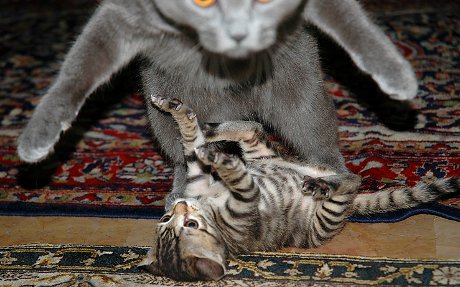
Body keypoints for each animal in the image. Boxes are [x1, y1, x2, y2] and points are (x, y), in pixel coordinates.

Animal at [141, 97, 460, 282]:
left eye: (170, 220)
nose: (178, 206)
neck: (208, 206)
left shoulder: (201, 179)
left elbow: (190, 142)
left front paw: (185, 123)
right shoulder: (245, 201)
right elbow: (235, 176)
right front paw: (219, 159)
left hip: (262, 154)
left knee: (253, 126)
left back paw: (209, 128)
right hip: (324, 220)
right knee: (351, 181)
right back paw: (323, 184)